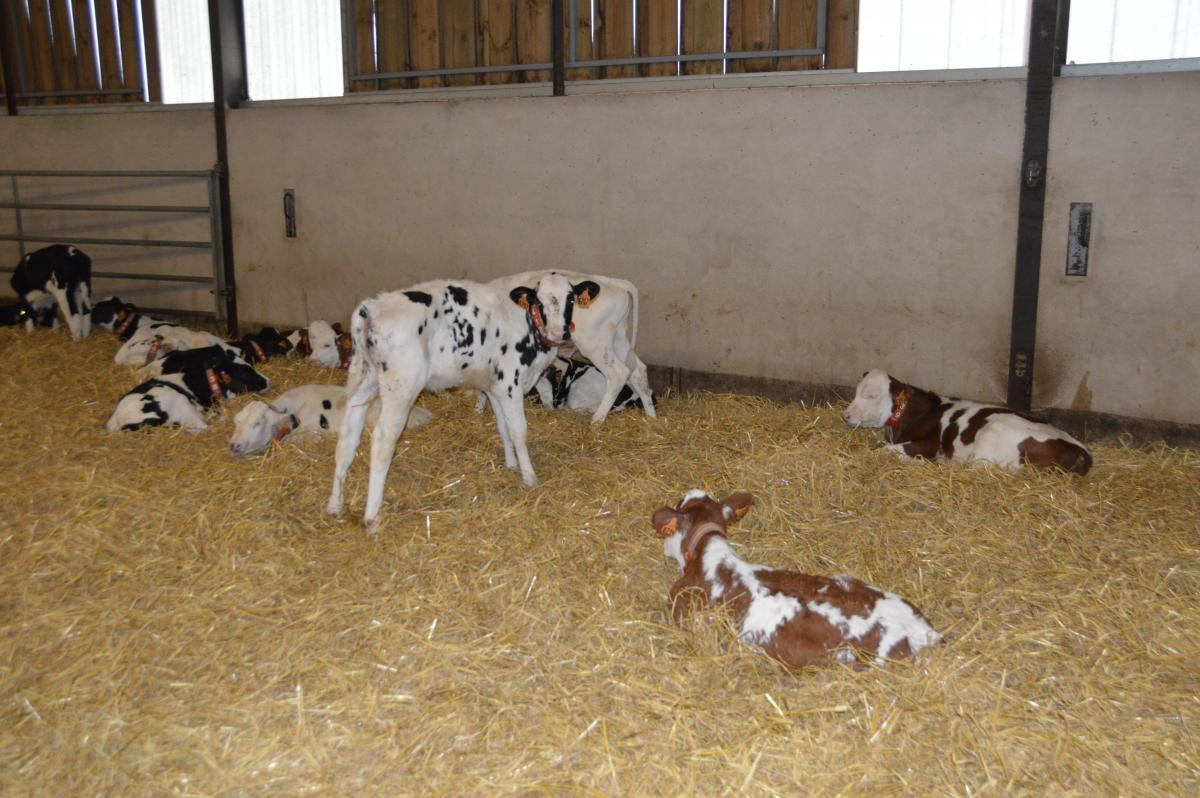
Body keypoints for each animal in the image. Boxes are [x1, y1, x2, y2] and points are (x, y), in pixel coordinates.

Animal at [328, 277, 571, 525]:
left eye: (570, 299)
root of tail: (374, 306)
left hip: (362, 378)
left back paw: (334, 505)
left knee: (347, 437)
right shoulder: (509, 383)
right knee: (382, 440)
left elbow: (503, 427)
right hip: (401, 386)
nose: (559, 332)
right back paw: (372, 516)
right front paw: (529, 476)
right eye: (539, 301)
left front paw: (511, 464)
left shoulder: (495, 387)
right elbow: (518, 431)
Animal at [840, 367, 1094, 472]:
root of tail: (1081, 450)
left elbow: (885, 451)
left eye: (872, 395)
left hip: (992, 437)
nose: (846, 415)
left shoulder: (930, 443)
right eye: (856, 391)